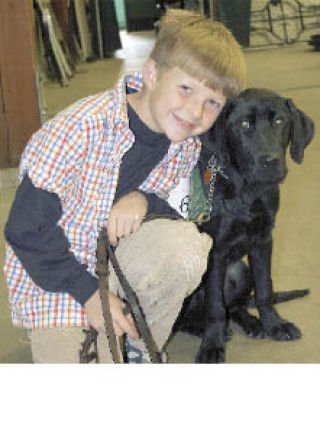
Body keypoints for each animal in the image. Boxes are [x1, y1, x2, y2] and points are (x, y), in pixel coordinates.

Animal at [174, 88, 314, 362]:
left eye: (279, 121)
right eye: (244, 124)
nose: (270, 161)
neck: (248, 190)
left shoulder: (263, 241)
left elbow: (265, 290)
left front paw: (274, 325)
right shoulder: (215, 252)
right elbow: (215, 308)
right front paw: (212, 345)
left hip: (240, 271)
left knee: (236, 306)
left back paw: (252, 323)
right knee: (186, 319)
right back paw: (202, 328)